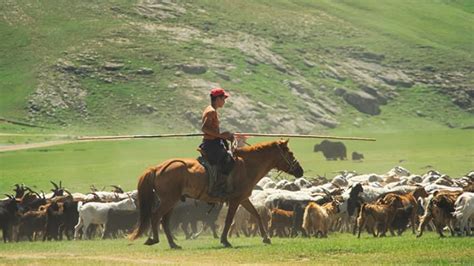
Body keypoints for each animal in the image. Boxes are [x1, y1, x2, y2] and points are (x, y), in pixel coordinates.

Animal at [128, 138, 302, 248]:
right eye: (290, 153)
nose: (300, 171)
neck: (246, 166)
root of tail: (157, 168)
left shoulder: (243, 199)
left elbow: (256, 215)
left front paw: (266, 238)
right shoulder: (235, 200)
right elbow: (229, 220)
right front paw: (225, 240)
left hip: (172, 201)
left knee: (164, 220)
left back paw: (173, 244)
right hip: (169, 200)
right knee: (156, 216)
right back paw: (155, 239)